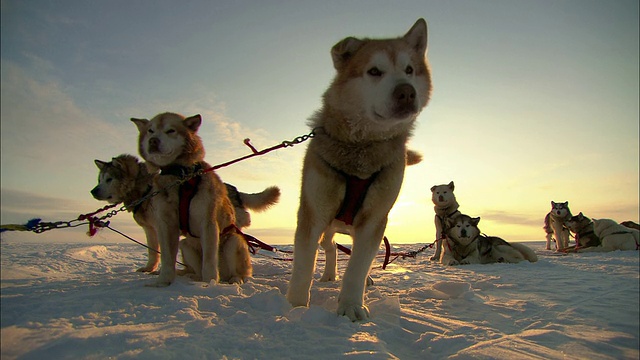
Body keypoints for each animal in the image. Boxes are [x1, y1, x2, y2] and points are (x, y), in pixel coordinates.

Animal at [130, 112, 250, 286]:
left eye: (171, 130)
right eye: (150, 131)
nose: (153, 141)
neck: (181, 176)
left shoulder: (208, 222)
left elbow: (209, 261)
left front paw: (210, 283)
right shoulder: (166, 224)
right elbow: (167, 259)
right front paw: (162, 283)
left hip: (232, 242)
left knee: (236, 270)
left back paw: (234, 279)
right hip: (186, 245)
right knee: (193, 262)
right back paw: (195, 278)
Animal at [288, 18, 432, 320]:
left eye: (409, 70)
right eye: (374, 71)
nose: (406, 92)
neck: (363, 150)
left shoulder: (374, 220)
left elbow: (357, 266)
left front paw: (351, 305)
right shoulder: (313, 213)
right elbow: (304, 266)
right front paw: (295, 308)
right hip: (327, 228)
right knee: (330, 248)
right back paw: (328, 275)